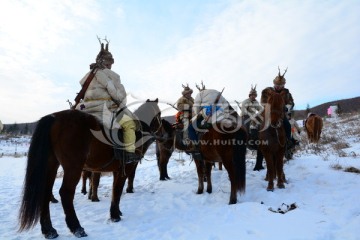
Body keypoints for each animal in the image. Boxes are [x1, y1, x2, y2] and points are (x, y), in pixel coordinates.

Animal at [18, 99, 162, 238]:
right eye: (160, 114)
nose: (162, 135)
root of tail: (53, 117)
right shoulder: (125, 170)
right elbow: (117, 190)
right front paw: (114, 216)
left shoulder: (116, 171)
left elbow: (115, 192)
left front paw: (117, 212)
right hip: (73, 168)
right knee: (66, 193)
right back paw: (76, 228)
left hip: (51, 167)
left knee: (45, 193)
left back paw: (49, 230)